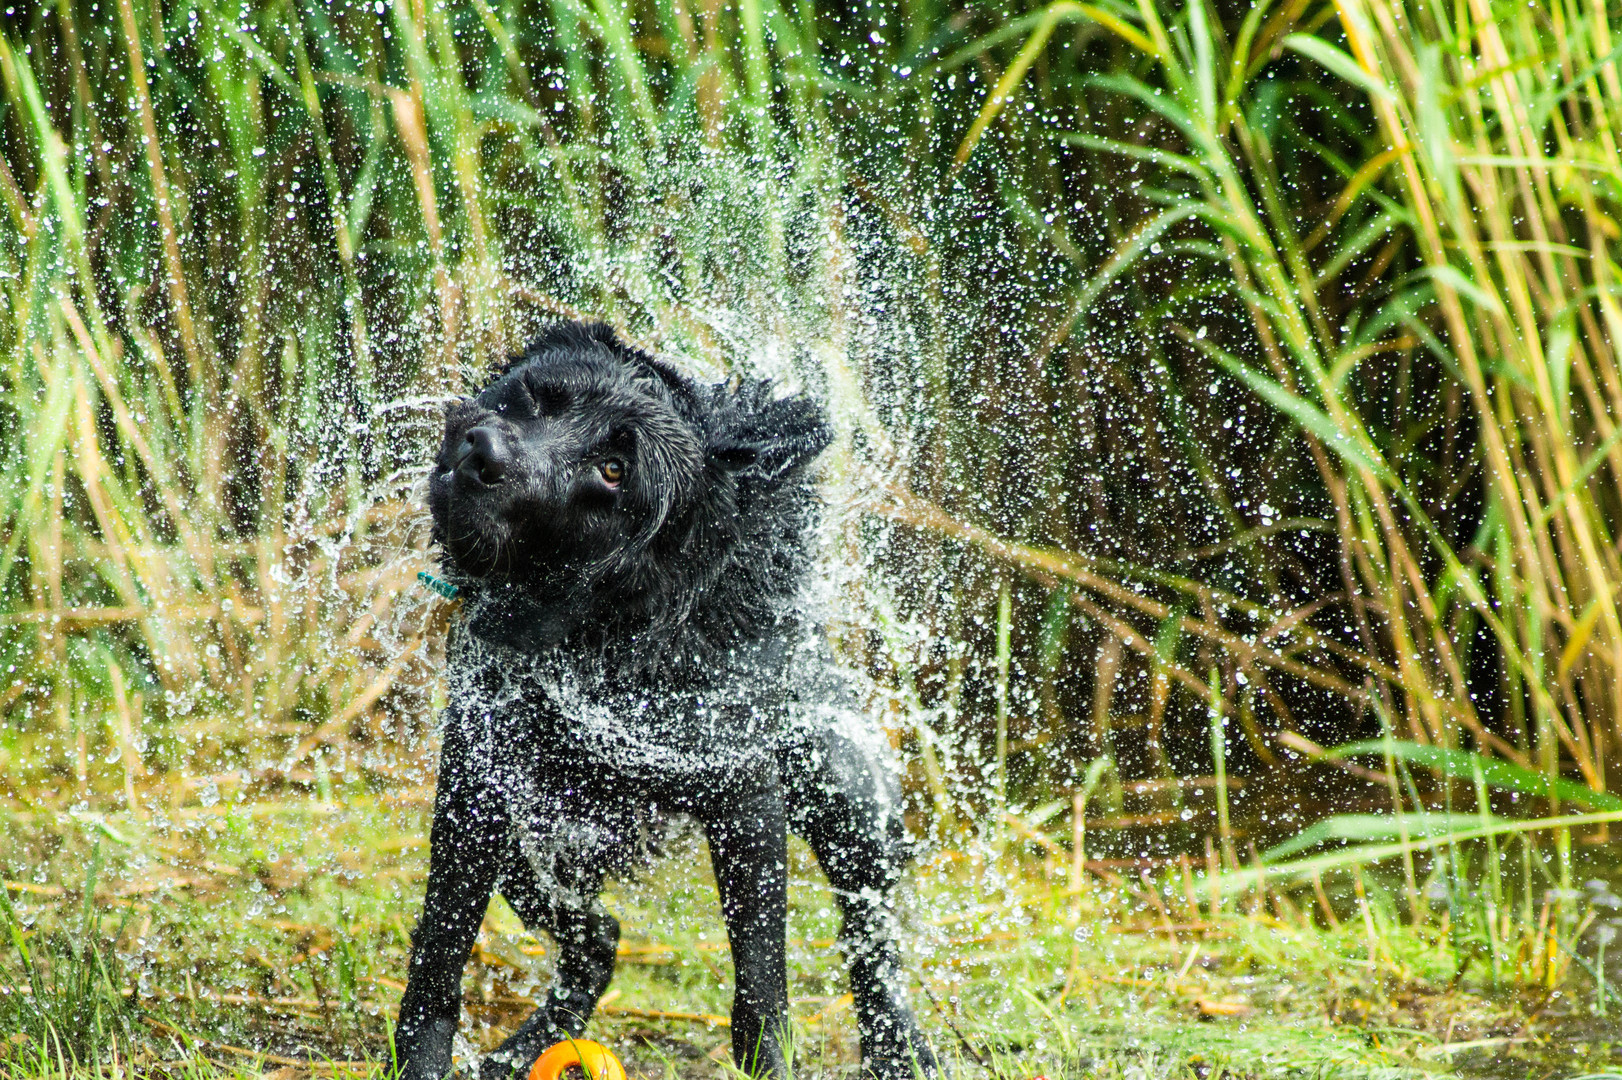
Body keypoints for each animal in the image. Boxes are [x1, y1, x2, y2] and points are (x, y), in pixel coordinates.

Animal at [394, 319, 947, 1076]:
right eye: (536, 395)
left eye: (614, 472)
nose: (485, 451)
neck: (609, 643)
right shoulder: (478, 788)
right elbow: (438, 959)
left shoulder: (747, 801)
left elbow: (762, 989)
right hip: (537, 851)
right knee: (599, 938)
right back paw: (525, 1050)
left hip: (845, 791)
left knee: (871, 934)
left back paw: (897, 1046)